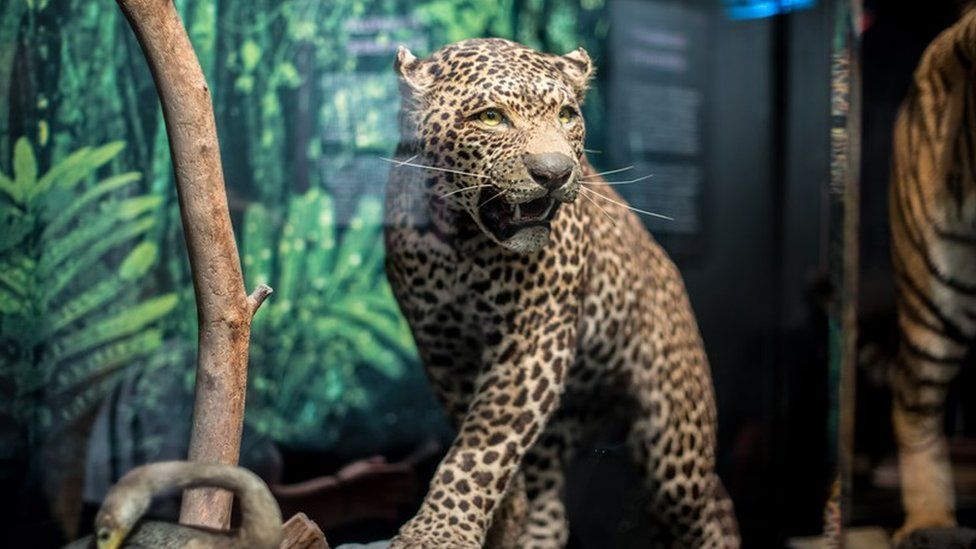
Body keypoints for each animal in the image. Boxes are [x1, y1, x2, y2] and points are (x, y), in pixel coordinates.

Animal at [386, 38, 736, 548]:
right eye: (491, 118)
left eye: (567, 114)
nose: (553, 172)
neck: (464, 241)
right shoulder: (442, 347)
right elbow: (480, 434)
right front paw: (500, 511)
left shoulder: (533, 337)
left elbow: (483, 442)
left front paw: (440, 532)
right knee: (550, 501)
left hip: (674, 440)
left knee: (703, 509)